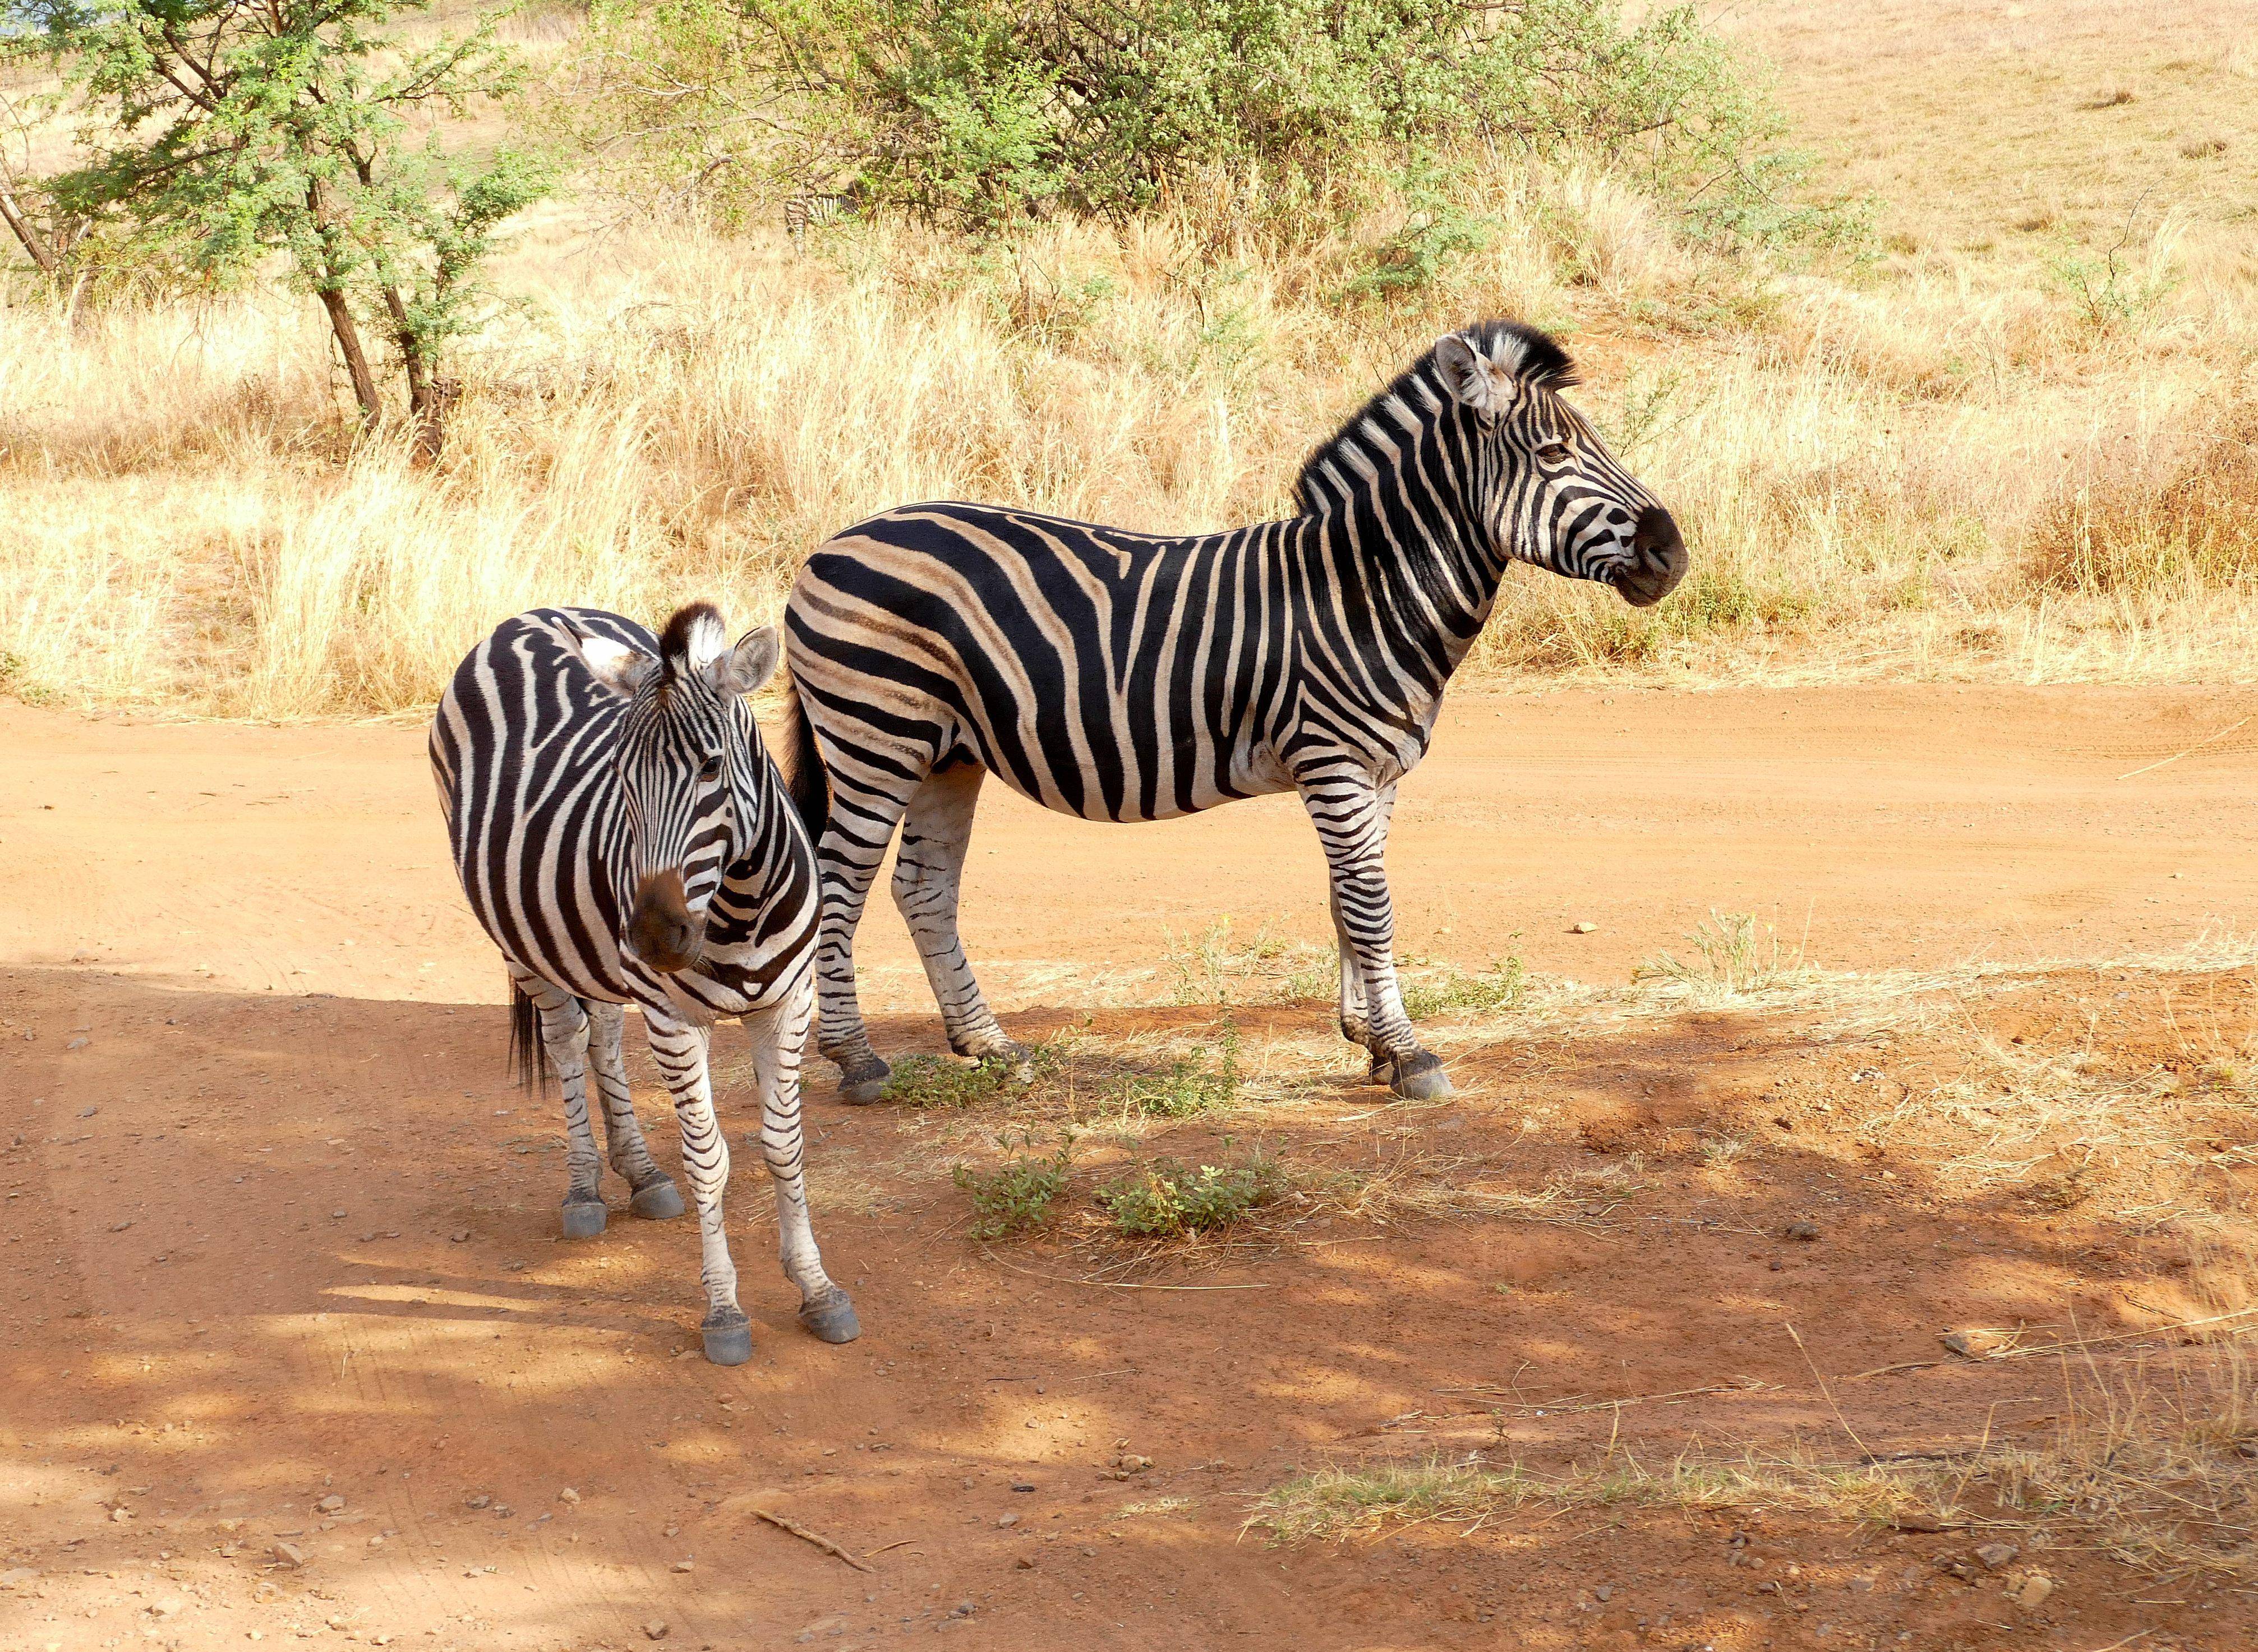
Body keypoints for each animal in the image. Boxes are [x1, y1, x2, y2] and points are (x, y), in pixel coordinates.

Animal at [431, 600, 862, 1363]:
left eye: (713, 768)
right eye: (621, 778)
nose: (656, 938)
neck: (740, 906)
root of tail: (534, 614)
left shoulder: (790, 1005)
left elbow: (784, 1146)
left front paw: (817, 1289)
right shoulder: (673, 1018)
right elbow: (709, 1159)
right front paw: (724, 1311)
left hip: (596, 949)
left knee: (601, 1031)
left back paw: (640, 1171)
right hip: (519, 942)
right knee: (566, 1039)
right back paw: (584, 1188)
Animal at [786, 318, 1689, 1101]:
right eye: (1553, 451)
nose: (1673, 555)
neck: (1368, 592)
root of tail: (831, 544)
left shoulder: (1379, 772)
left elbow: (1349, 899)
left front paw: (1368, 1040)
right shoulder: (1333, 761)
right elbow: (1371, 906)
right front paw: (1407, 1053)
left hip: (948, 752)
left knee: (923, 887)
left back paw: (989, 1045)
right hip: (875, 737)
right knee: (840, 881)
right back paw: (856, 1059)